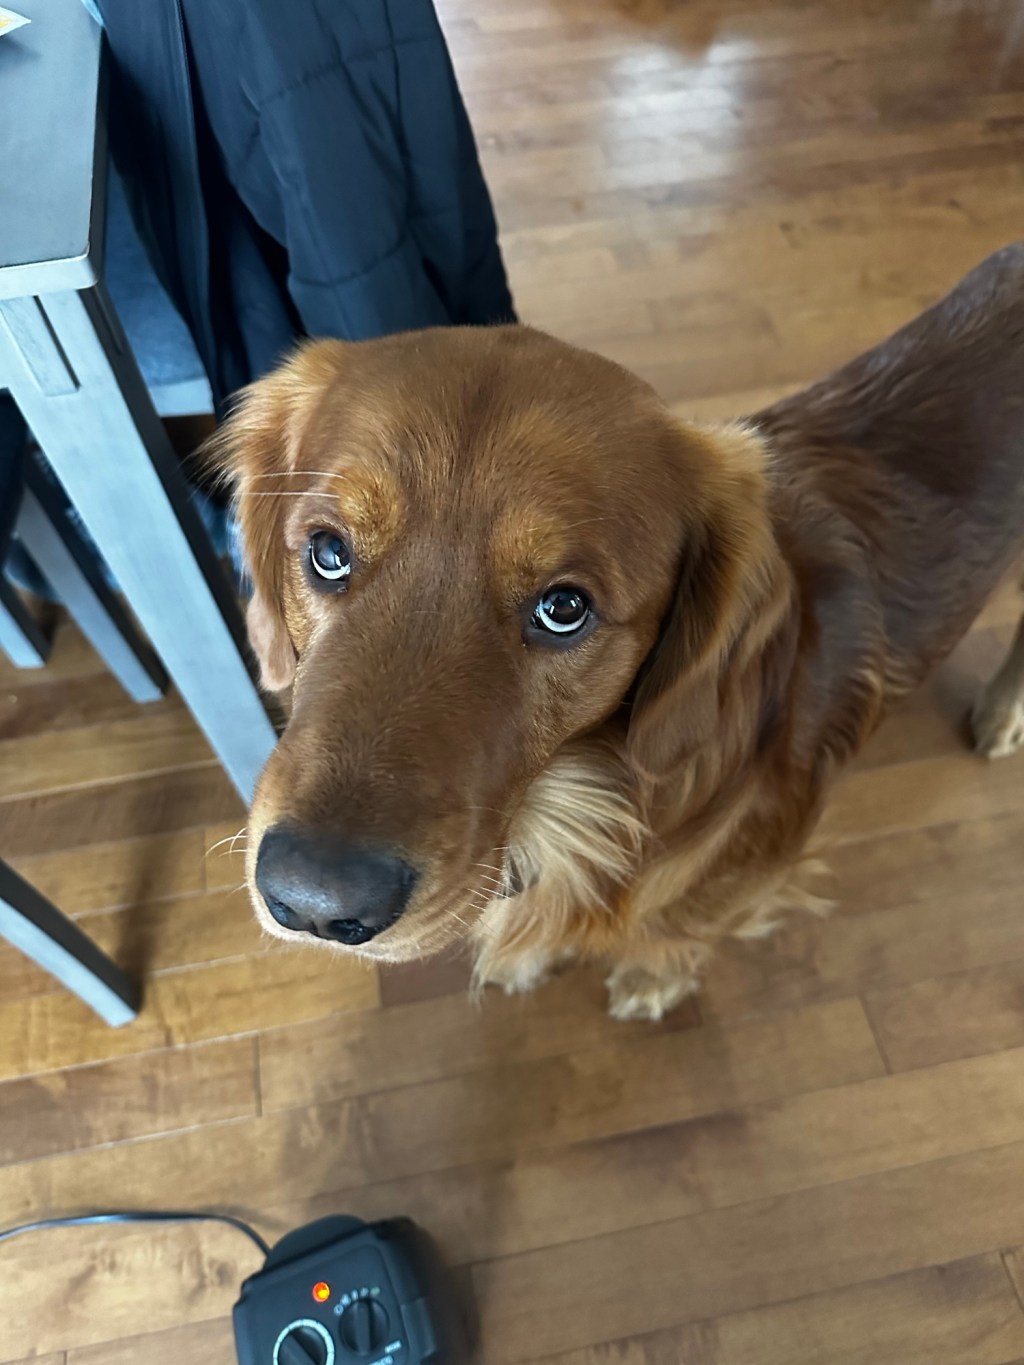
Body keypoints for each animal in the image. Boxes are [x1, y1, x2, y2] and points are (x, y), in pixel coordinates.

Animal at [213, 244, 1024, 1020]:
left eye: (564, 608)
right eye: (328, 552)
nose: (313, 903)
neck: (574, 801)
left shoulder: (751, 864)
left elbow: (674, 930)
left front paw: (650, 981)